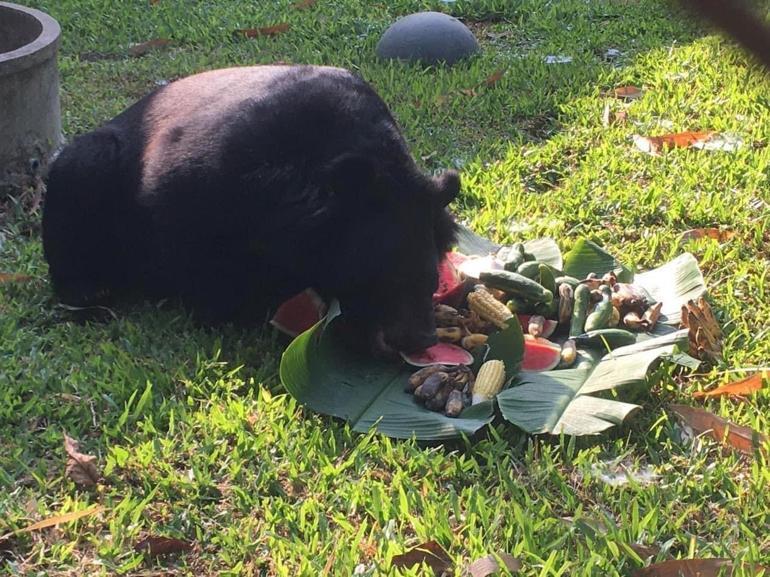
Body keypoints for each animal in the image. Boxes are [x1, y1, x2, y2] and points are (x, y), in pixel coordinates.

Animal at [42, 63, 460, 352]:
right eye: (379, 277)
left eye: (431, 280)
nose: (420, 340)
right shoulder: (194, 177)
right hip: (90, 164)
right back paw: (89, 294)